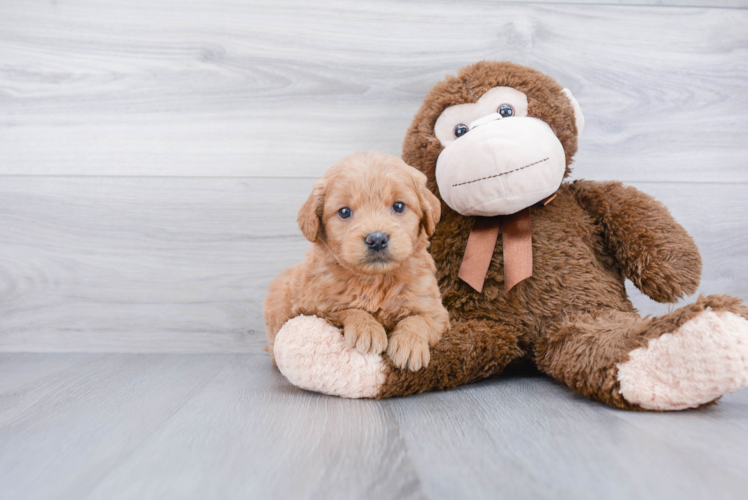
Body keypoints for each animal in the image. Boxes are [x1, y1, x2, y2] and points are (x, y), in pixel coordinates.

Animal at [264, 151, 450, 372]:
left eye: (398, 206)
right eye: (344, 212)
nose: (376, 239)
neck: (375, 280)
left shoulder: (434, 309)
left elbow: (419, 319)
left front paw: (409, 344)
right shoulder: (314, 307)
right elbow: (347, 309)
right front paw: (367, 329)